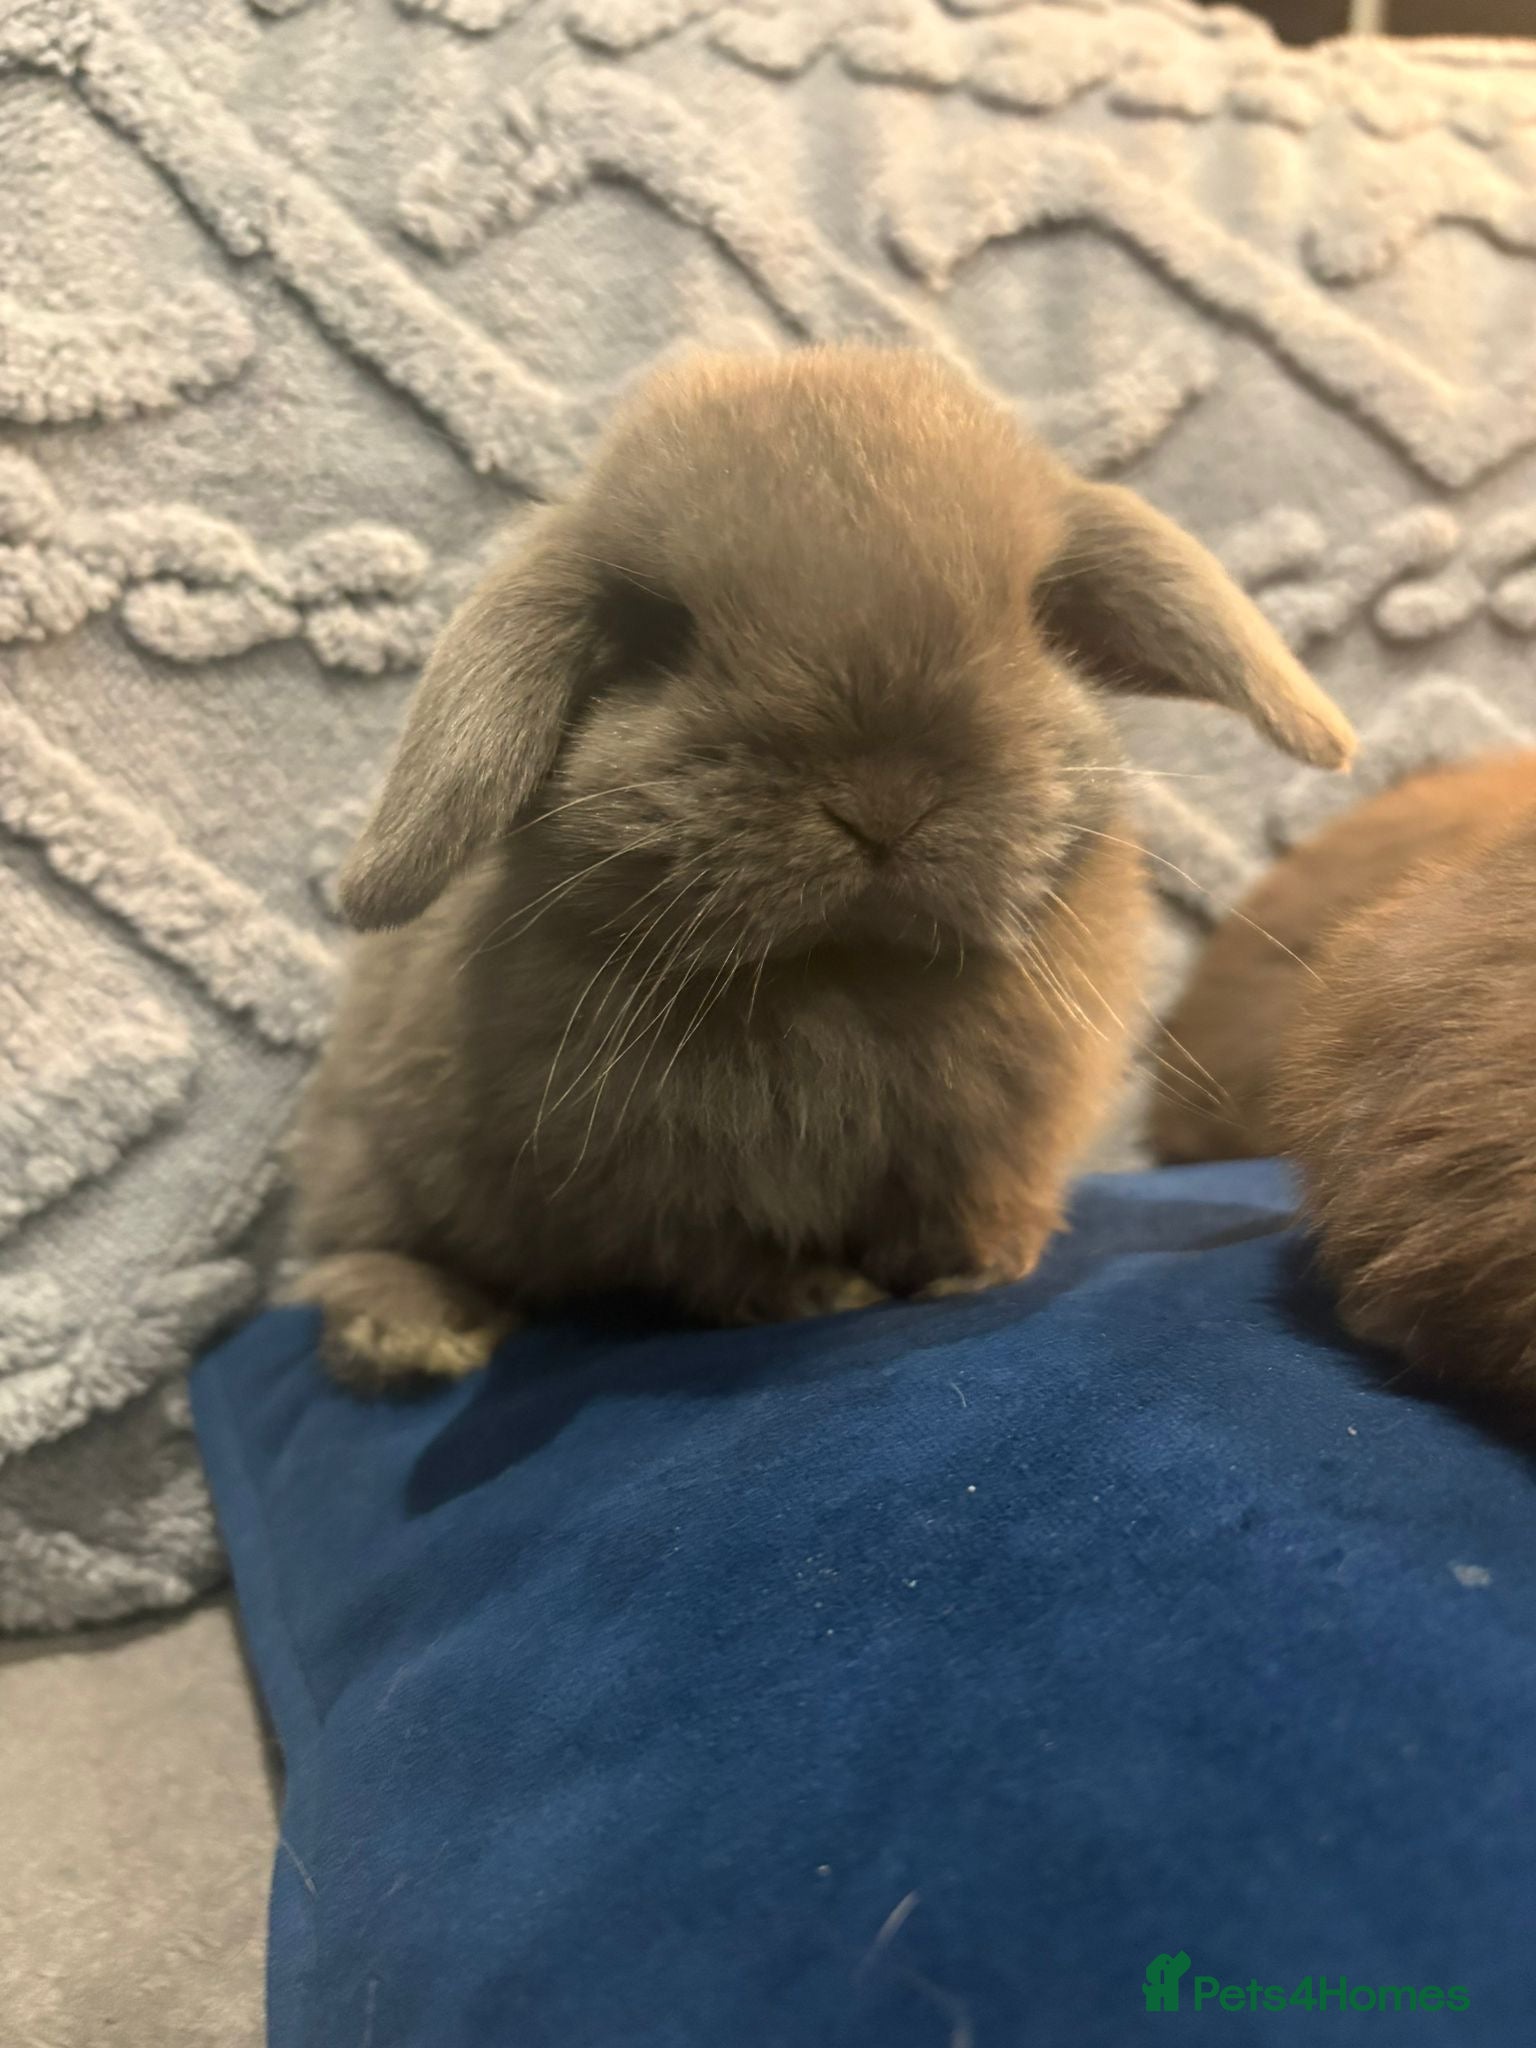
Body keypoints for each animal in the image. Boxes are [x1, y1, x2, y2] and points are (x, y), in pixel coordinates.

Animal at [287, 345, 1354, 1389]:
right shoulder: (645, 1189)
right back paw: (413, 1336)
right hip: (375, 1170)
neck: (847, 968)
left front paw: (974, 1268)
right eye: (654, 633)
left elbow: (976, 1197)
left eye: (1041, 615)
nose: (884, 800)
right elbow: (718, 1255)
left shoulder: (1000, 1131)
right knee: (353, 1258)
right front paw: (816, 1295)